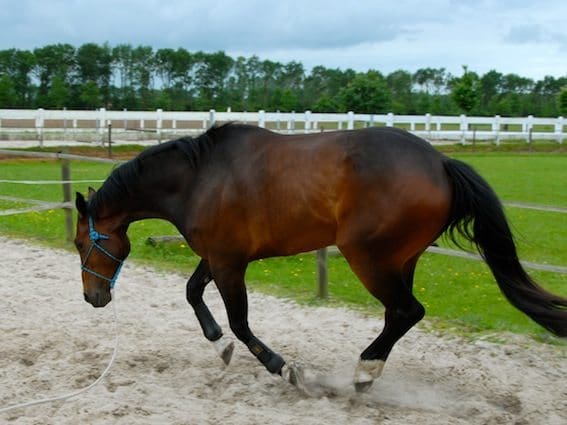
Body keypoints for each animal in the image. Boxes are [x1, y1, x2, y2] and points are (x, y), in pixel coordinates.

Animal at [75, 122, 567, 390]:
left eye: (81, 243)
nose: (92, 298)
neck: (199, 178)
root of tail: (441, 163)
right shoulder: (218, 256)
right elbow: (194, 293)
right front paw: (220, 347)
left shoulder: (230, 263)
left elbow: (240, 321)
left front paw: (282, 367)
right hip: (400, 261)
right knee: (399, 315)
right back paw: (367, 372)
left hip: (368, 257)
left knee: (407, 311)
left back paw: (364, 373)